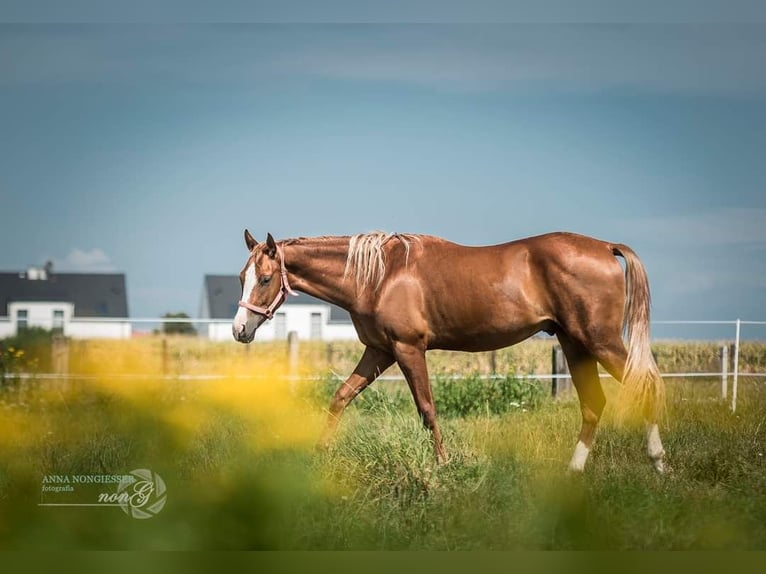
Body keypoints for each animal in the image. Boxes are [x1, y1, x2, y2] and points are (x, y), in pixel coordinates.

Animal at [231, 232, 668, 474]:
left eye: (265, 279)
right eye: (241, 277)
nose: (239, 330)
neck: (378, 276)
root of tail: (605, 247)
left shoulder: (408, 349)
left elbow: (427, 409)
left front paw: (442, 466)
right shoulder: (379, 352)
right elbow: (340, 398)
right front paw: (319, 453)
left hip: (599, 341)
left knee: (646, 385)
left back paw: (659, 464)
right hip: (574, 344)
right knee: (594, 404)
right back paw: (574, 471)